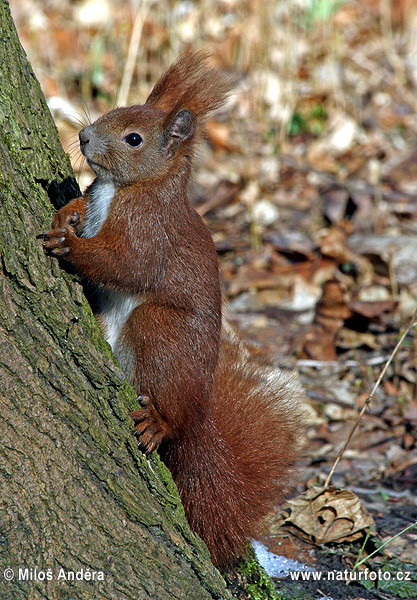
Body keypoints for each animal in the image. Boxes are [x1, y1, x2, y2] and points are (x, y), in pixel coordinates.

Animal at [39, 51, 304, 568]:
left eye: (134, 139)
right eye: (114, 111)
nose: (84, 136)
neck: (127, 187)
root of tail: (198, 416)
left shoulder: (149, 232)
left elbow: (124, 263)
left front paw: (72, 245)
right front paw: (67, 213)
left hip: (160, 330)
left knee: (167, 406)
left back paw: (159, 421)